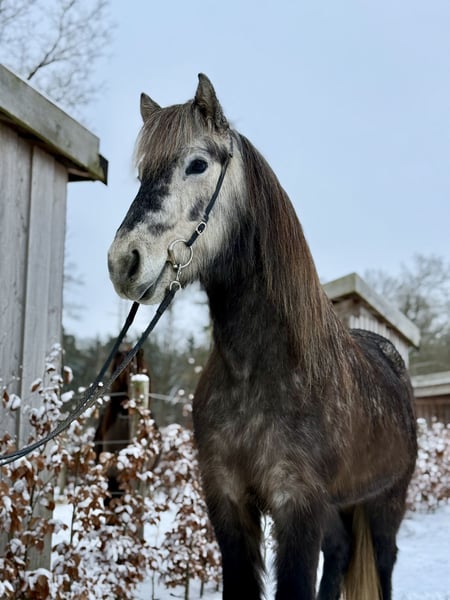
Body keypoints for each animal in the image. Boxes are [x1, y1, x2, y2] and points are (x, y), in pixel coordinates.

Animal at [107, 74, 417, 600]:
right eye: (143, 174)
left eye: (197, 164)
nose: (122, 262)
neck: (260, 372)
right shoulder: (229, 502)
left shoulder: (298, 505)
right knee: (339, 555)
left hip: (385, 502)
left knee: (384, 562)